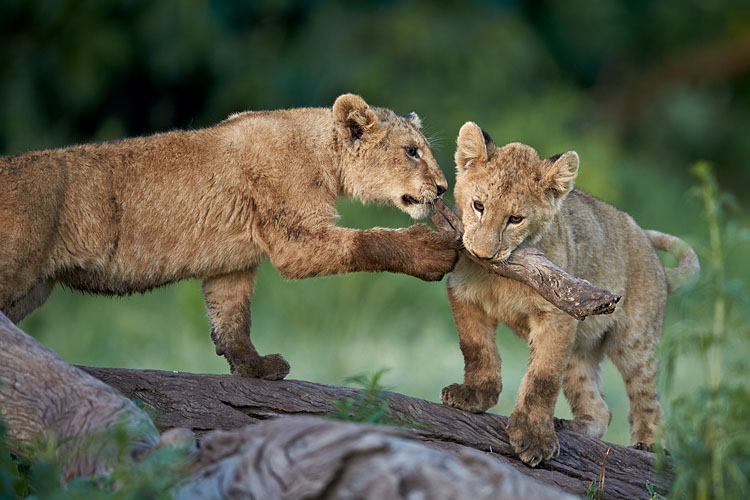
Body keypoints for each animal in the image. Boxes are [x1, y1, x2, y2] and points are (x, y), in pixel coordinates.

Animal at [0, 94, 459, 380]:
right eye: (412, 151)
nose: (442, 188)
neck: (324, 153)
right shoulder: (296, 239)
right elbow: (371, 241)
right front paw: (431, 250)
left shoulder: (230, 265)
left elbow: (232, 320)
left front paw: (254, 367)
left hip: (34, 289)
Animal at [440, 122, 698, 466]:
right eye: (478, 206)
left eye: (515, 219)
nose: (482, 254)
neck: (502, 276)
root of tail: (653, 255)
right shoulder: (463, 294)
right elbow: (477, 349)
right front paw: (474, 395)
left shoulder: (557, 315)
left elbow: (543, 378)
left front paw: (534, 438)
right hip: (580, 349)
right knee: (600, 408)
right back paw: (570, 426)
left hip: (634, 340)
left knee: (647, 398)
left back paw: (649, 447)